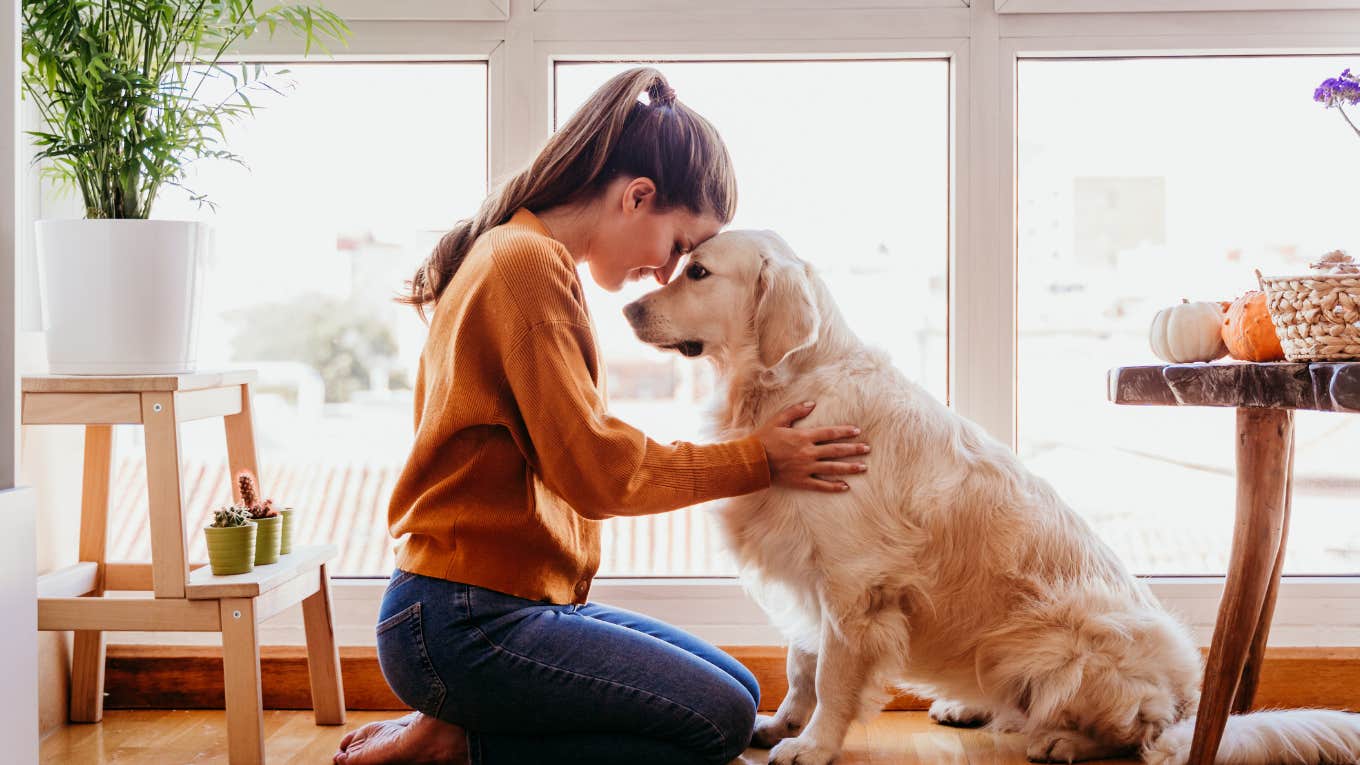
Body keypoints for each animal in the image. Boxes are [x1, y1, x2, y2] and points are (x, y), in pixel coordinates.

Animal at [622, 231, 1354, 762]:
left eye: (698, 273)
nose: (626, 307)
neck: (789, 383)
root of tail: (1185, 703)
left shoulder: (853, 584)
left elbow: (830, 675)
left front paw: (814, 745)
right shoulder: (808, 573)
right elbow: (802, 664)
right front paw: (781, 723)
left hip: (1053, 643)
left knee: (1132, 734)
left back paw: (1061, 740)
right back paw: (968, 705)